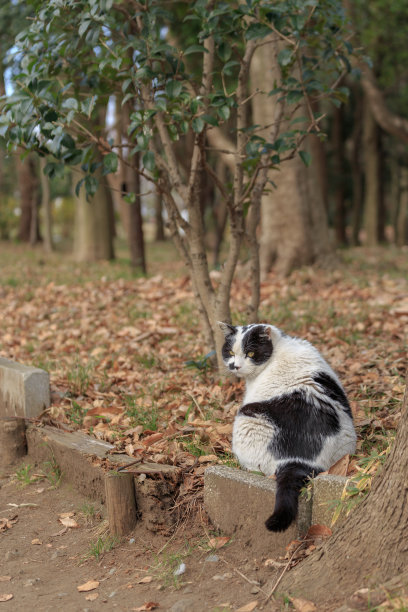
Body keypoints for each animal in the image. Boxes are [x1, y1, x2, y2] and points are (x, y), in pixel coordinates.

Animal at [218, 322, 356, 532]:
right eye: (231, 352)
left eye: (250, 353)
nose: (235, 365)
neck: (281, 345)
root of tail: (299, 460)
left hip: (247, 418)